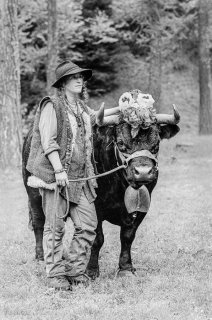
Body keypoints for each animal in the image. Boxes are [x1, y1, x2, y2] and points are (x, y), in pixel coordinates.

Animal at [22, 90, 180, 278]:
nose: (143, 171)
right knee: (39, 223)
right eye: (121, 143)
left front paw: (126, 267)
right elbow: (97, 238)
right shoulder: (94, 207)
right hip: (33, 193)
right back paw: (40, 256)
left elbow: (128, 237)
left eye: (156, 144)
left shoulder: (142, 208)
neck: (121, 188)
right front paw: (91, 270)